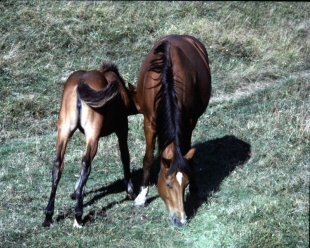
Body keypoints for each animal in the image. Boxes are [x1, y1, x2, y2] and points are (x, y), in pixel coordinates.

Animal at [43, 62, 137, 229]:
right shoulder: (122, 129)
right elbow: (125, 156)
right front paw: (130, 190)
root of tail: (80, 83)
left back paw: (48, 215)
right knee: (86, 163)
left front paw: (76, 192)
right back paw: (78, 216)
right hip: (93, 135)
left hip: (64, 132)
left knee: (58, 164)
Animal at [130, 34, 212, 227]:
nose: (180, 220)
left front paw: (195, 188)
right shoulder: (149, 122)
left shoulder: (188, 123)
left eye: (185, 184)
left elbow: (188, 156)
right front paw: (141, 197)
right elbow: (148, 158)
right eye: (168, 184)